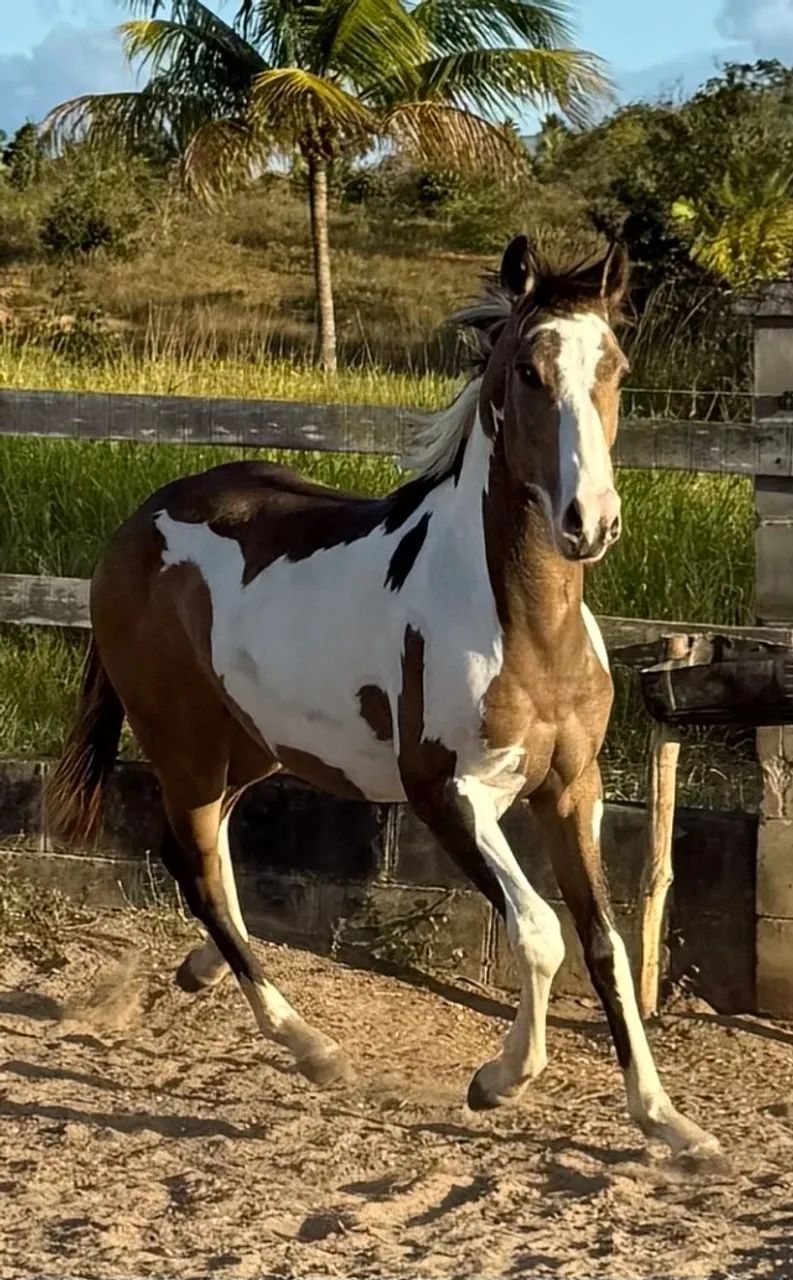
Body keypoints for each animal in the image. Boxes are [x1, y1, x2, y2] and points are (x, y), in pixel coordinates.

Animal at [48, 235, 719, 1159]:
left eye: (613, 365)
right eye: (526, 370)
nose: (590, 522)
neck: (520, 628)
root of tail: (136, 524)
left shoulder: (568, 787)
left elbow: (605, 944)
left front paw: (668, 1123)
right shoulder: (446, 793)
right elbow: (540, 931)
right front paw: (498, 1082)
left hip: (252, 745)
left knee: (209, 860)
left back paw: (205, 972)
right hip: (182, 743)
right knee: (194, 866)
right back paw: (311, 1048)